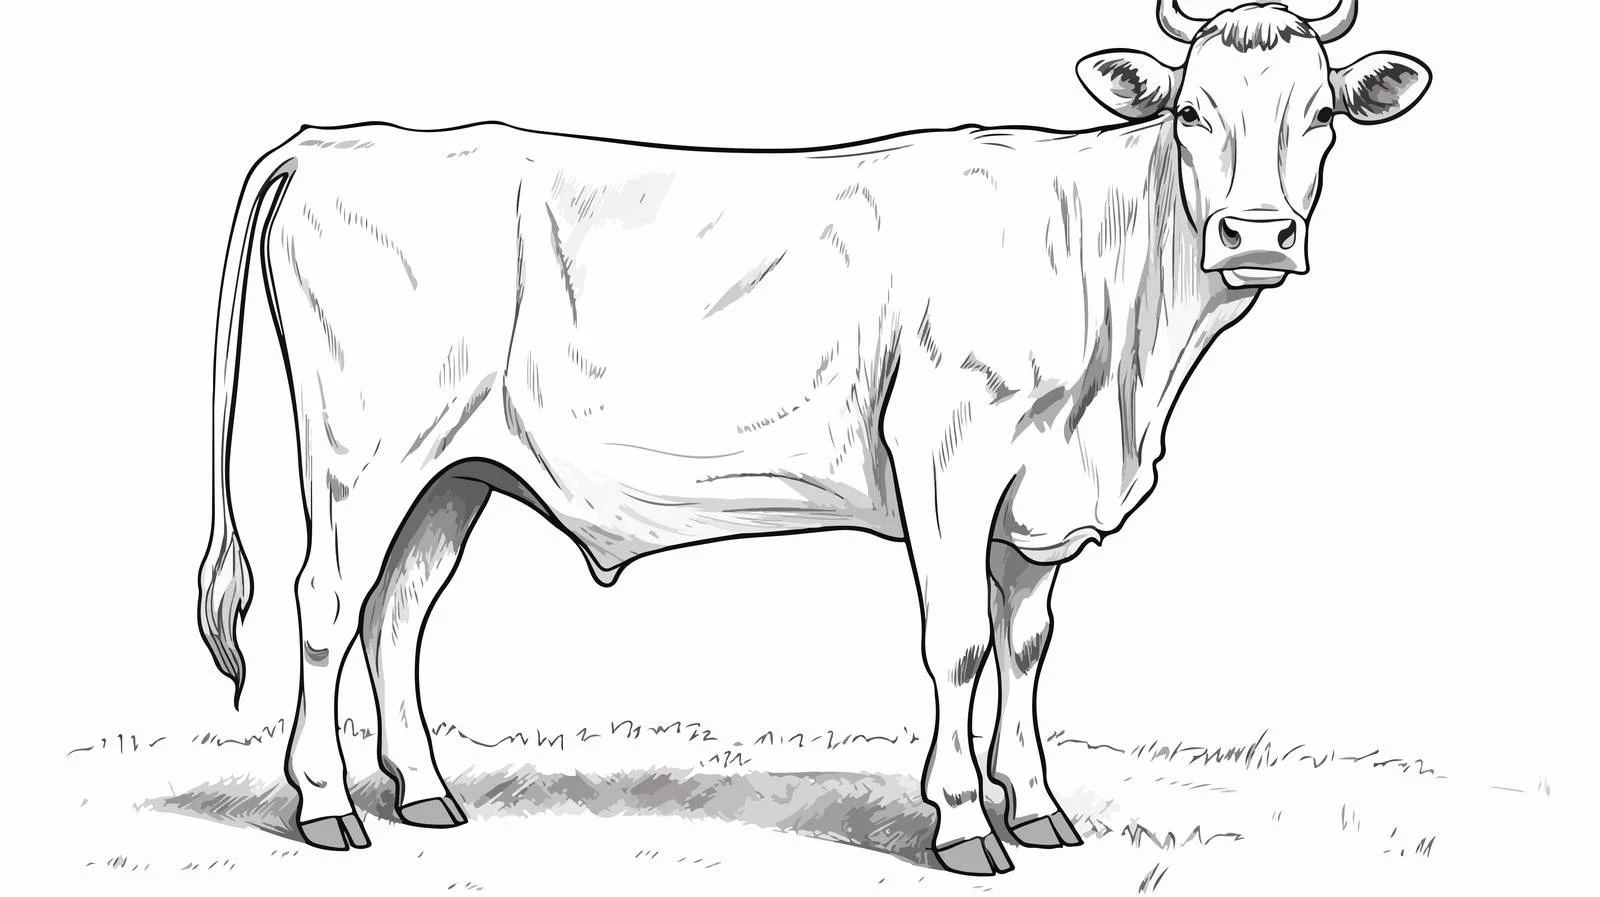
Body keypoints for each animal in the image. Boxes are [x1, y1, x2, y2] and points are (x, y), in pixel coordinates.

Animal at [197, 0, 1429, 876]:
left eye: (1320, 116)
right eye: (1190, 112)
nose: (1256, 235)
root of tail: (332, 141)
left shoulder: (1038, 498)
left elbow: (1026, 647)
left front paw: (1037, 809)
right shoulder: (946, 454)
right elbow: (959, 645)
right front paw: (962, 824)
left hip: (453, 471)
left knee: (397, 610)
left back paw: (425, 796)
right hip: (363, 452)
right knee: (325, 602)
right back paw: (324, 808)